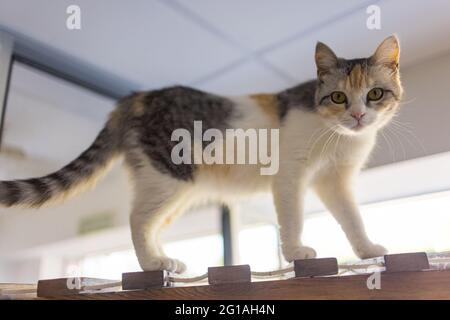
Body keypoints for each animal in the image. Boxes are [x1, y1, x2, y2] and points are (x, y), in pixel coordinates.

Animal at [0, 36, 404, 274]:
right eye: (338, 97)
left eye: (375, 95)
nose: (357, 116)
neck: (338, 136)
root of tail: (137, 97)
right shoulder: (291, 174)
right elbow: (293, 218)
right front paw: (296, 252)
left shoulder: (335, 180)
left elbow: (352, 218)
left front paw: (367, 249)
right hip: (169, 177)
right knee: (137, 219)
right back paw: (154, 263)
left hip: (172, 189)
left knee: (147, 222)